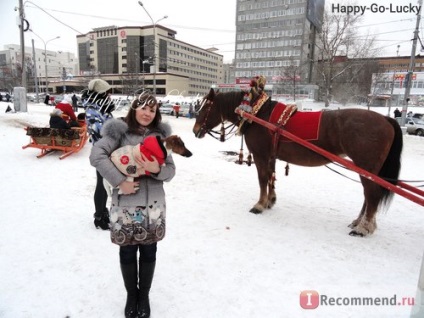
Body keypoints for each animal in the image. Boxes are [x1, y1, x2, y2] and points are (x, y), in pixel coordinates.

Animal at [194, 89, 402, 236]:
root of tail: (386, 119)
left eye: (205, 107)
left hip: (367, 169)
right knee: (368, 196)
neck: (257, 115)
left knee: (371, 194)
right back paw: (360, 222)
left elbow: (262, 179)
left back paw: (363, 227)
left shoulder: (261, 156)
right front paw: (270, 200)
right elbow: (271, 178)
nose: (195, 130)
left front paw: (260, 204)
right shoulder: (271, 156)